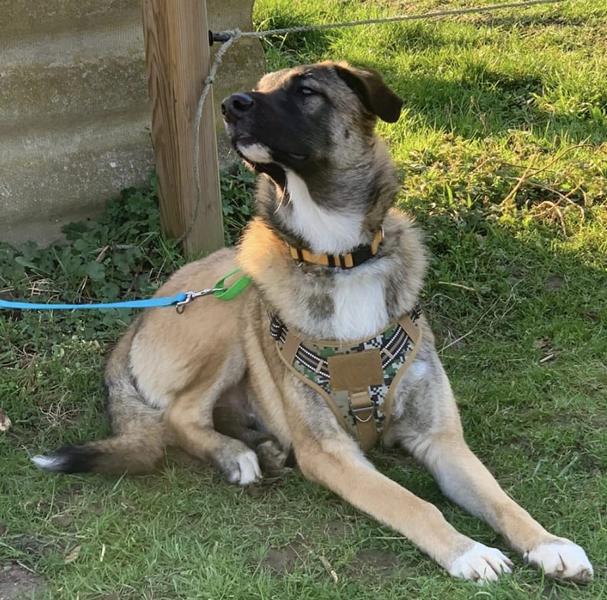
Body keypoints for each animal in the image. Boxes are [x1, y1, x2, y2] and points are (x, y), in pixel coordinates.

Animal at [33, 61, 593, 583]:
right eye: (260, 87)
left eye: (306, 91)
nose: (230, 105)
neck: (339, 257)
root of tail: (141, 316)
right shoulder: (331, 454)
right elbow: (416, 504)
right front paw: (469, 552)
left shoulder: (441, 439)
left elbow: (500, 498)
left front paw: (549, 544)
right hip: (231, 310)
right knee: (181, 415)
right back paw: (236, 455)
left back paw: (259, 444)